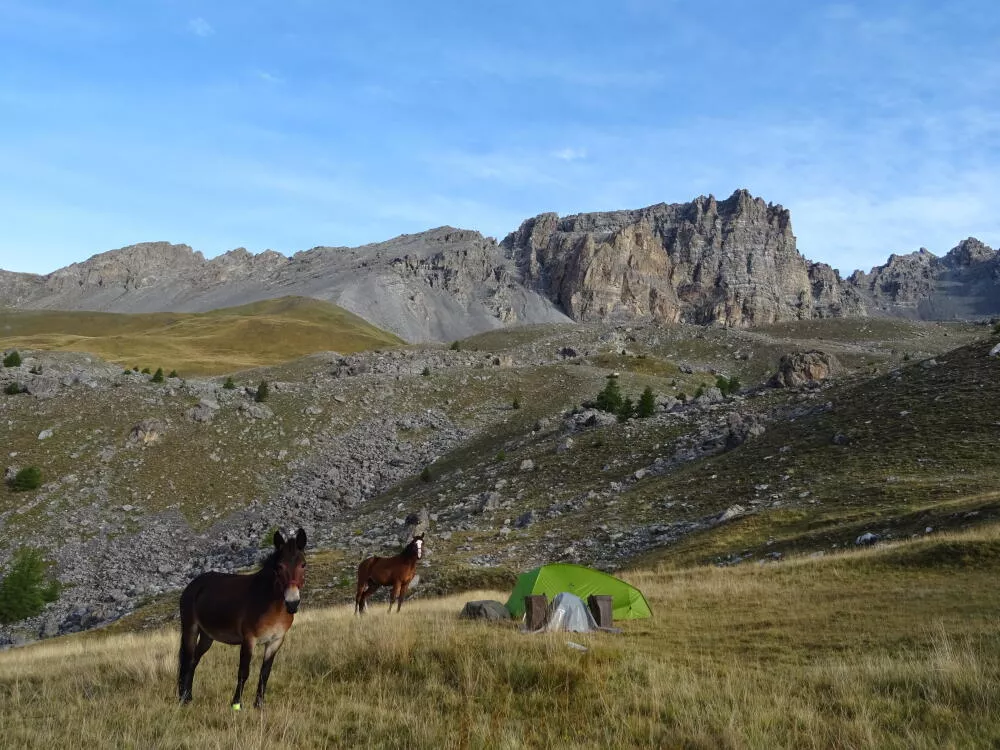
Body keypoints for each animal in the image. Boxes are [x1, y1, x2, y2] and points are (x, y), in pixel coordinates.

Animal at [177, 528, 307, 710]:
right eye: (279, 567)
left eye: (303, 565)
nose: (292, 603)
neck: (269, 602)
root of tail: (193, 585)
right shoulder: (249, 640)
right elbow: (243, 672)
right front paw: (236, 704)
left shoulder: (275, 641)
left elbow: (265, 673)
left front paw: (259, 705)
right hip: (191, 629)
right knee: (187, 661)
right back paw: (183, 700)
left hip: (207, 636)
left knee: (195, 661)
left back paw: (189, 697)